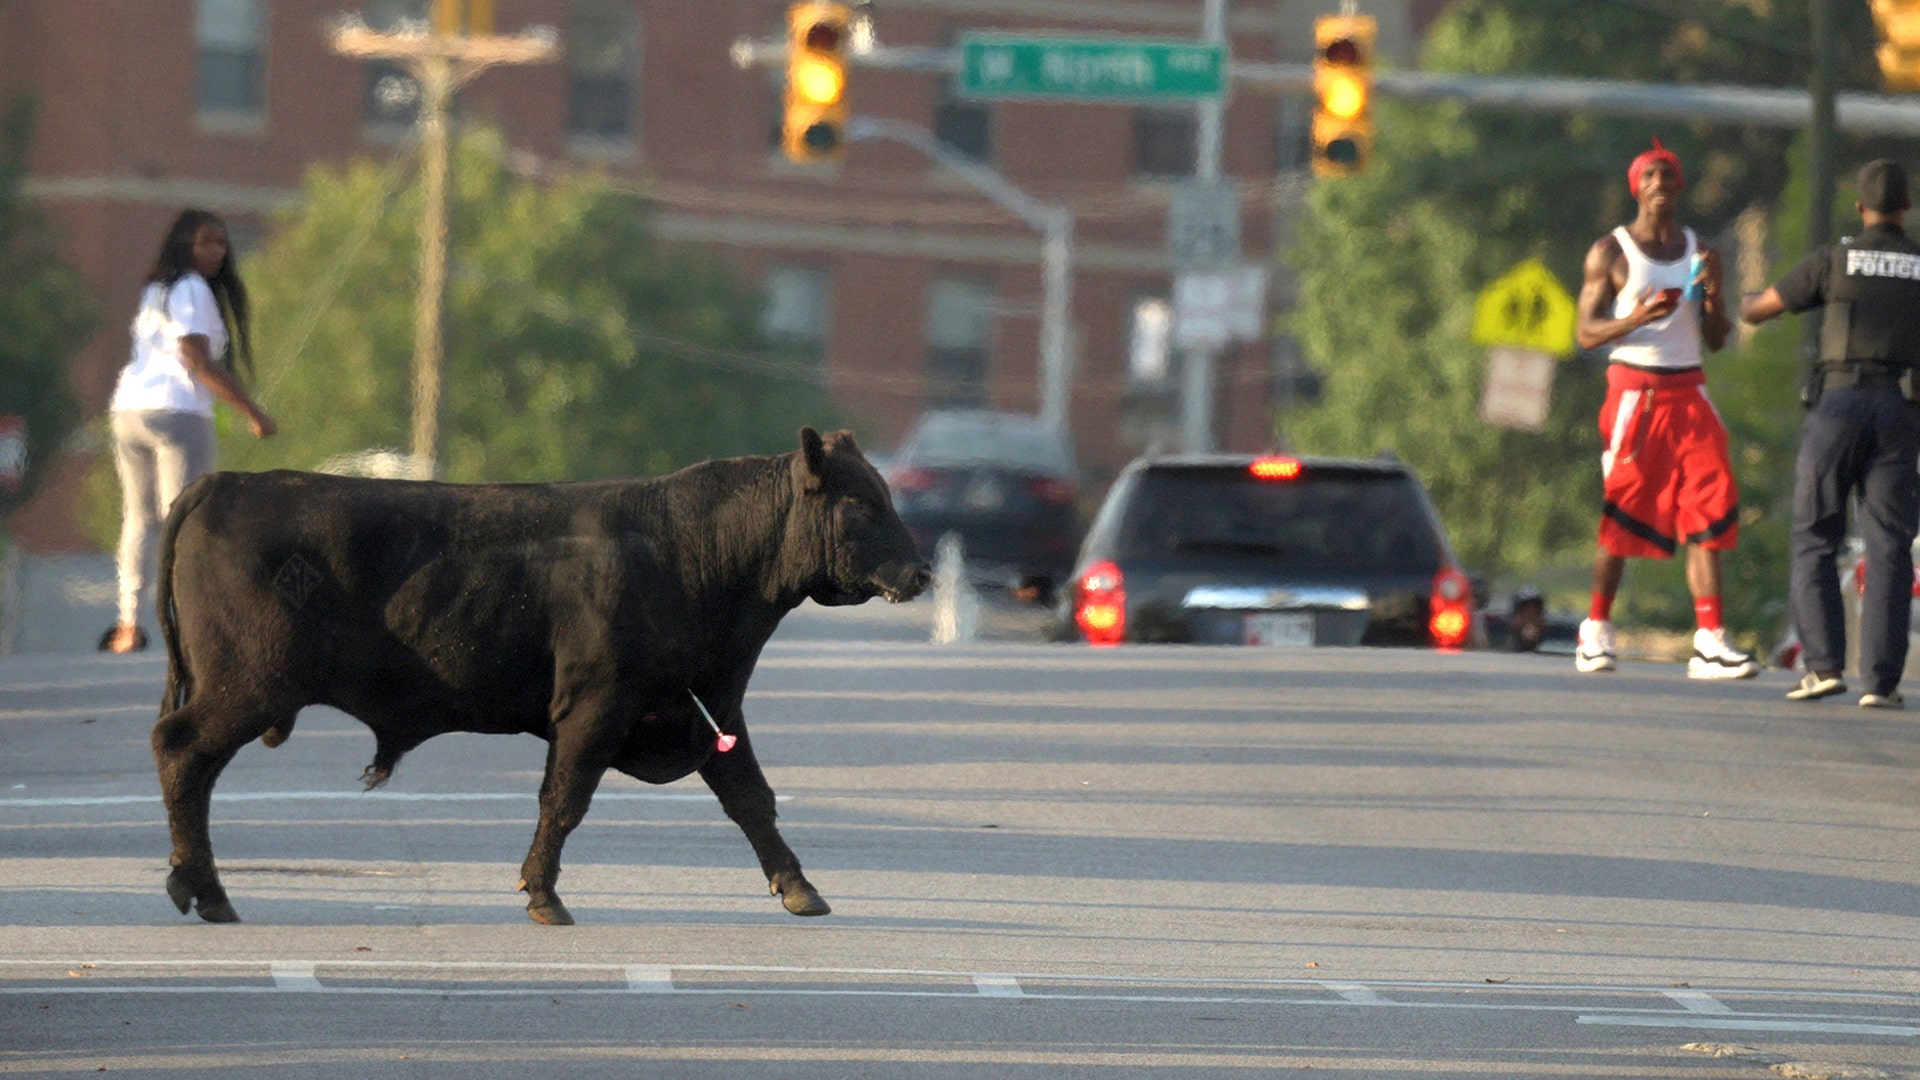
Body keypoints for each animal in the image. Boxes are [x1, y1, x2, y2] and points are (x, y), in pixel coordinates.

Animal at [151, 427, 930, 926]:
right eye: (863, 503)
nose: (922, 571)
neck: (690, 552)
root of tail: (227, 484)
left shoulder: (710, 708)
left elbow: (752, 800)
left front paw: (800, 887)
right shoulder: (595, 707)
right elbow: (565, 799)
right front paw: (544, 896)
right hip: (246, 686)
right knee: (182, 753)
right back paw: (206, 890)